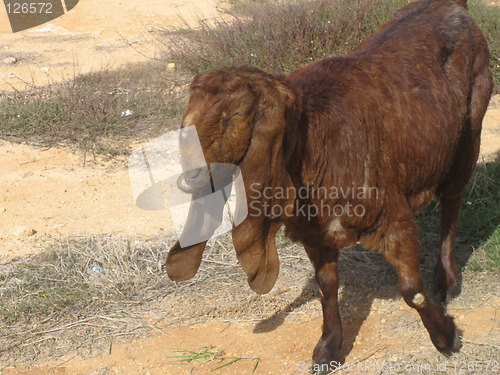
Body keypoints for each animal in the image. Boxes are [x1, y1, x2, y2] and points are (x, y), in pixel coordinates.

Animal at [164, 0, 492, 372]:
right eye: (187, 117)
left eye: (235, 115)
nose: (190, 177)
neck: (315, 141)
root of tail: (449, 5)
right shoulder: (314, 232)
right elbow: (326, 286)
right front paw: (328, 349)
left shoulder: (394, 218)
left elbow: (413, 291)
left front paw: (446, 337)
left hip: (471, 128)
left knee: (452, 201)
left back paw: (447, 280)